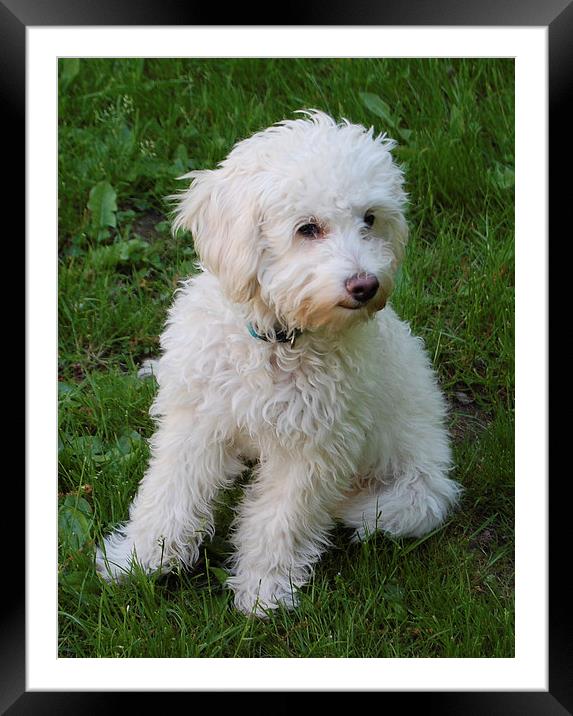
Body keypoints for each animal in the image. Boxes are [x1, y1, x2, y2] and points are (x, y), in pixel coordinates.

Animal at [95, 110, 460, 616]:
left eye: (370, 219)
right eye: (307, 228)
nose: (365, 285)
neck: (276, 340)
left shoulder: (312, 449)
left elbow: (279, 520)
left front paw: (263, 592)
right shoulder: (197, 423)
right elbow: (169, 494)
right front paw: (138, 560)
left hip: (413, 494)